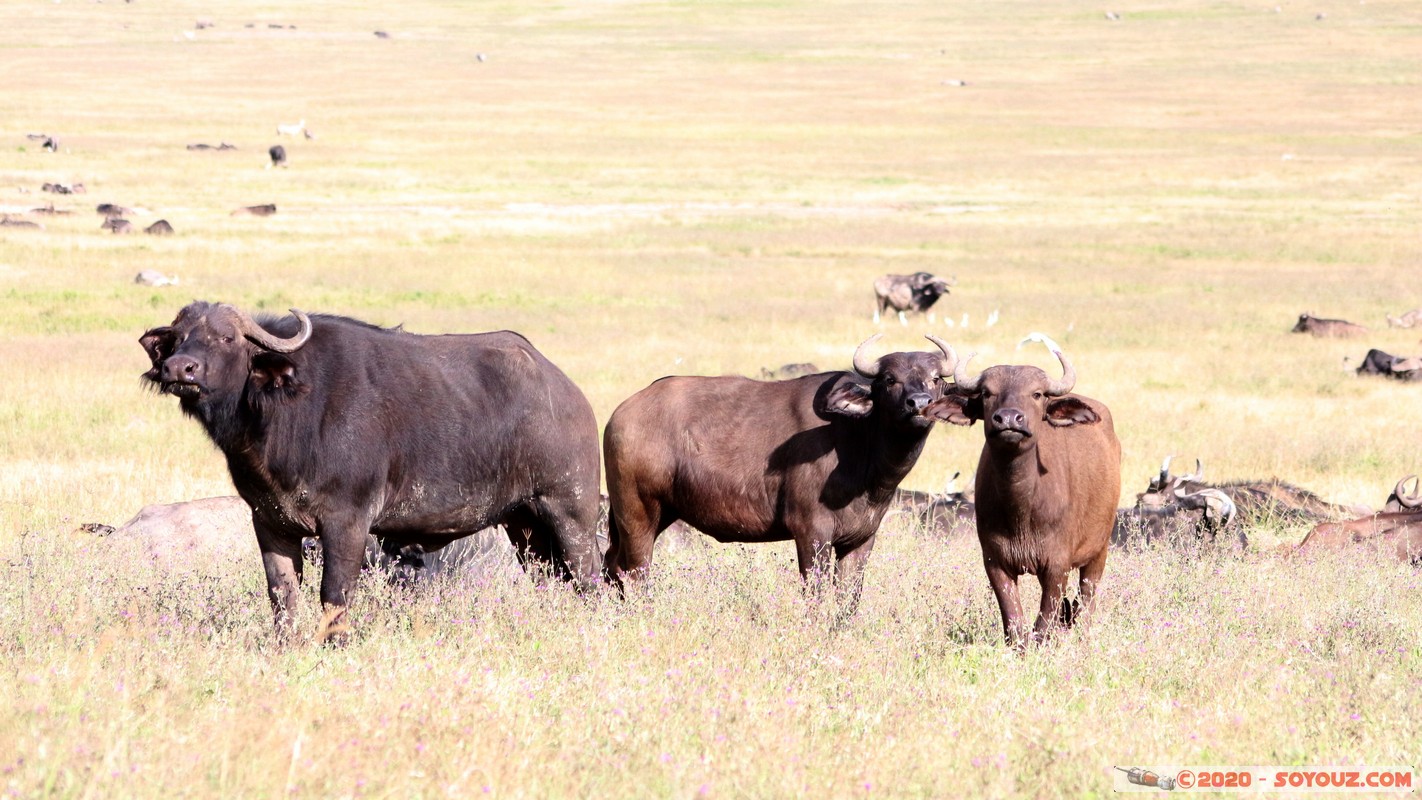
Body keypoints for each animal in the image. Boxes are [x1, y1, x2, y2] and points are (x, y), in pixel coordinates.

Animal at [140, 302, 603, 642]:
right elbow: (282, 593)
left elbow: (335, 593)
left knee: (588, 579)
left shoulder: (347, 522)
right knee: (552, 579)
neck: (285, 411)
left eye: (227, 337)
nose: (180, 369)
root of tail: (568, 393)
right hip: (523, 525)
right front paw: (285, 645)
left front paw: (334, 644)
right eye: (179, 338)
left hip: (570, 513)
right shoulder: (269, 522)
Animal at [604, 334, 961, 618]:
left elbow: (848, 597)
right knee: (635, 571)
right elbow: (815, 593)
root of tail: (621, 414)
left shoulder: (861, 538)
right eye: (889, 379)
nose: (919, 403)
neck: (859, 443)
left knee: (612, 563)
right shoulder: (811, 532)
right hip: (638, 512)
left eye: (934, 378)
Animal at [928, 334, 1121, 646]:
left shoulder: (1057, 565)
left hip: (1098, 551)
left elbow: (1044, 623)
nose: (1008, 419)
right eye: (986, 393)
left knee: (1088, 598)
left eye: (1037, 394)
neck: (1021, 507)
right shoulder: (995, 562)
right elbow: (1014, 622)